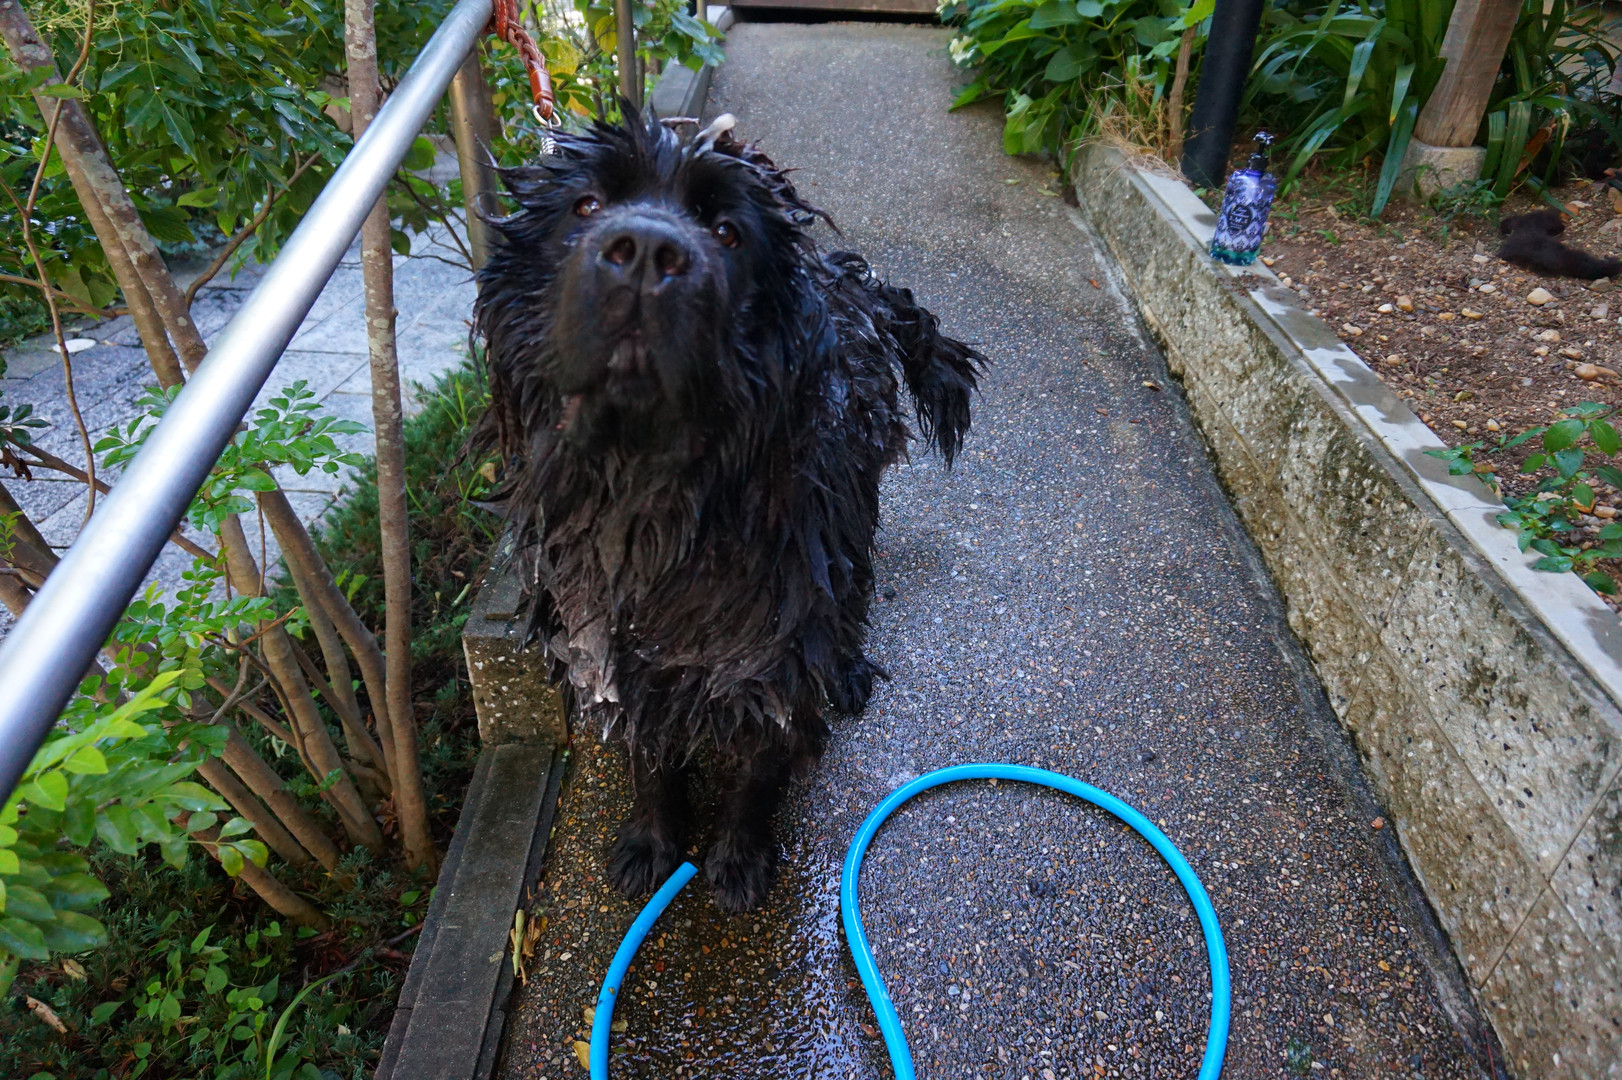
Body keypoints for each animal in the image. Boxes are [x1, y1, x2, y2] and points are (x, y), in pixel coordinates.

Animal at [473, 111, 985, 912]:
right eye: (586, 206)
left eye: (728, 231)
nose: (646, 251)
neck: (654, 498)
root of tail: (853, 278)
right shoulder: (610, 646)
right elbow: (648, 758)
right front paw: (653, 844)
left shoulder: (777, 648)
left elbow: (760, 765)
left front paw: (740, 858)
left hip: (853, 502)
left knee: (855, 583)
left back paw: (849, 670)